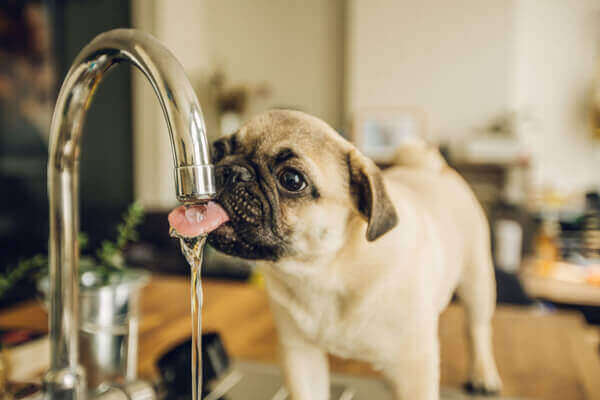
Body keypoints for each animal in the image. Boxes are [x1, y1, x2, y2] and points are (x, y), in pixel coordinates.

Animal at [206, 110, 502, 400]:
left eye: (291, 180)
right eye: (216, 152)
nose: (229, 170)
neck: (324, 270)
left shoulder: (414, 365)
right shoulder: (301, 354)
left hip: (477, 281)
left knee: (477, 329)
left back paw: (483, 375)